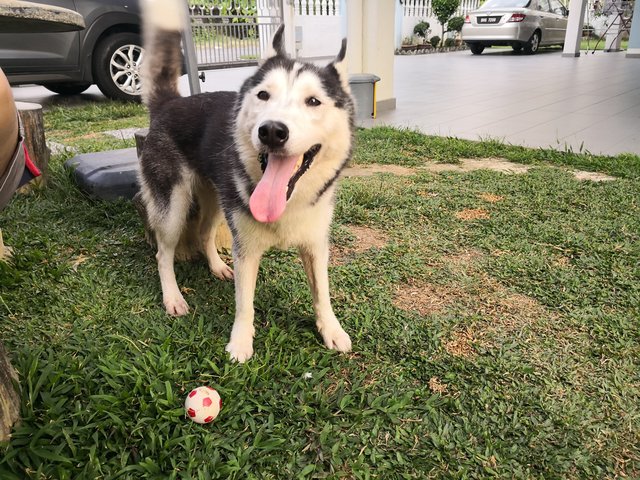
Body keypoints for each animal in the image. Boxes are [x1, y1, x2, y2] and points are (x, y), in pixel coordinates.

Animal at [141, 0, 358, 362]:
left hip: (217, 201)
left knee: (204, 233)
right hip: (172, 208)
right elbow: (245, 303)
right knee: (163, 253)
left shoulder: (316, 245)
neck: (288, 202)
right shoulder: (247, 250)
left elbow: (322, 293)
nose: (272, 130)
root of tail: (170, 102)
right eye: (264, 95)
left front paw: (331, 329)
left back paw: (216, 267)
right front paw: (241, 343)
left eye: (313, 101)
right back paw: (173, 297)